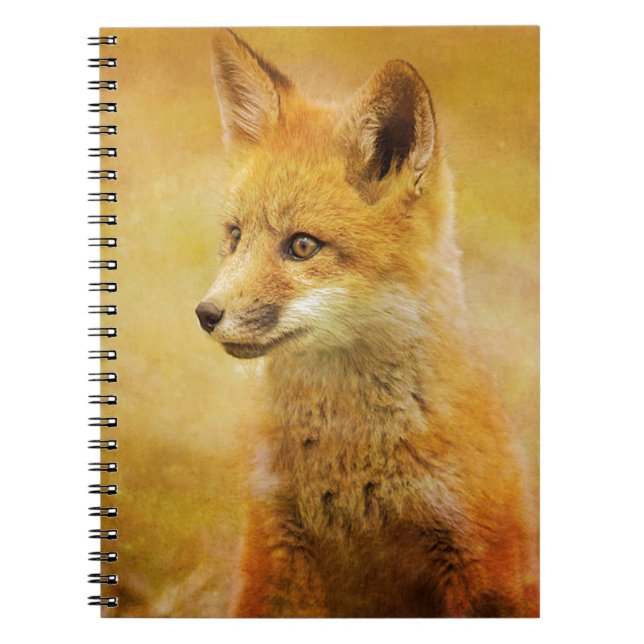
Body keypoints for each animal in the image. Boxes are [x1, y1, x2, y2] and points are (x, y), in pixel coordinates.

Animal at [196, 29, 537, 617]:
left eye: (302, 246)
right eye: (235, 236)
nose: (206, 314)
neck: (352, 465)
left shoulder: (477, 558)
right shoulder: (273, 550)